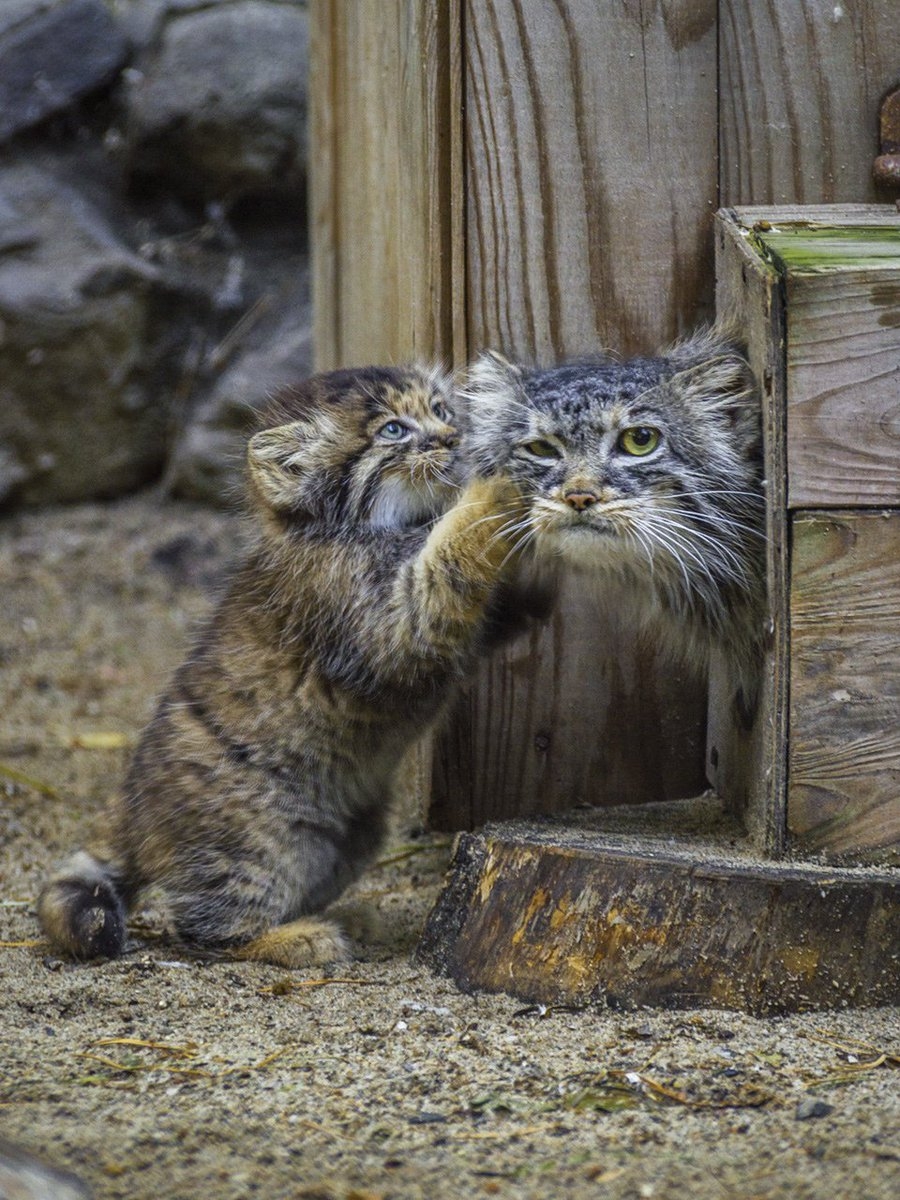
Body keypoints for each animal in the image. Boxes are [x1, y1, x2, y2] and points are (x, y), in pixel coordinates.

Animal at [40, 362, 528, 964]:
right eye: (393, 430)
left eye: (439, 409)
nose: (454, 437)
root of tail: (129, 810)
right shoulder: (380, 620)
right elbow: (447, 556)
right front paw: (497, 487)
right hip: (256, 841)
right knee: (205, 928)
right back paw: (298, 937)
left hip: (348, 836)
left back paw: (343, 918)